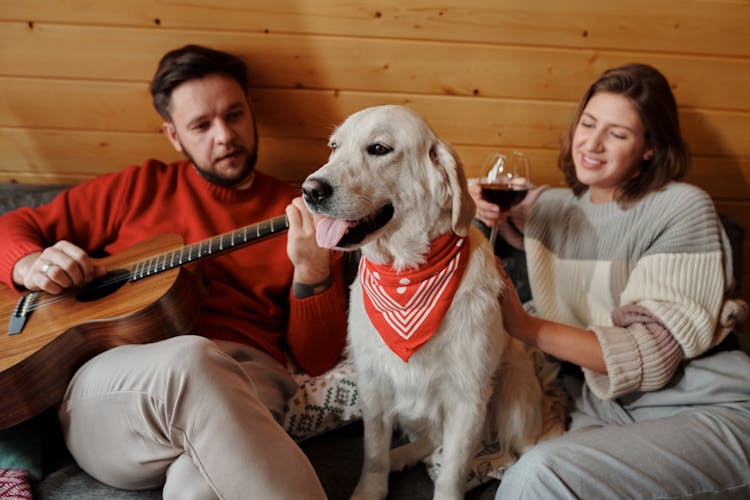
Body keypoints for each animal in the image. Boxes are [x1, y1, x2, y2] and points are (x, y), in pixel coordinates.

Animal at [302, 105, 560, 500]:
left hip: (513, 397)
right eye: (334, 146)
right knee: (431, 437)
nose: (310, 190)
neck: (408, 278)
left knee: (523, 446)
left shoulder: (468, 397)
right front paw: (371, 487)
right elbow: (373, 452)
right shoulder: (374, 385)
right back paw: (401, 456)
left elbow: (452, 469)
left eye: (379, 148)